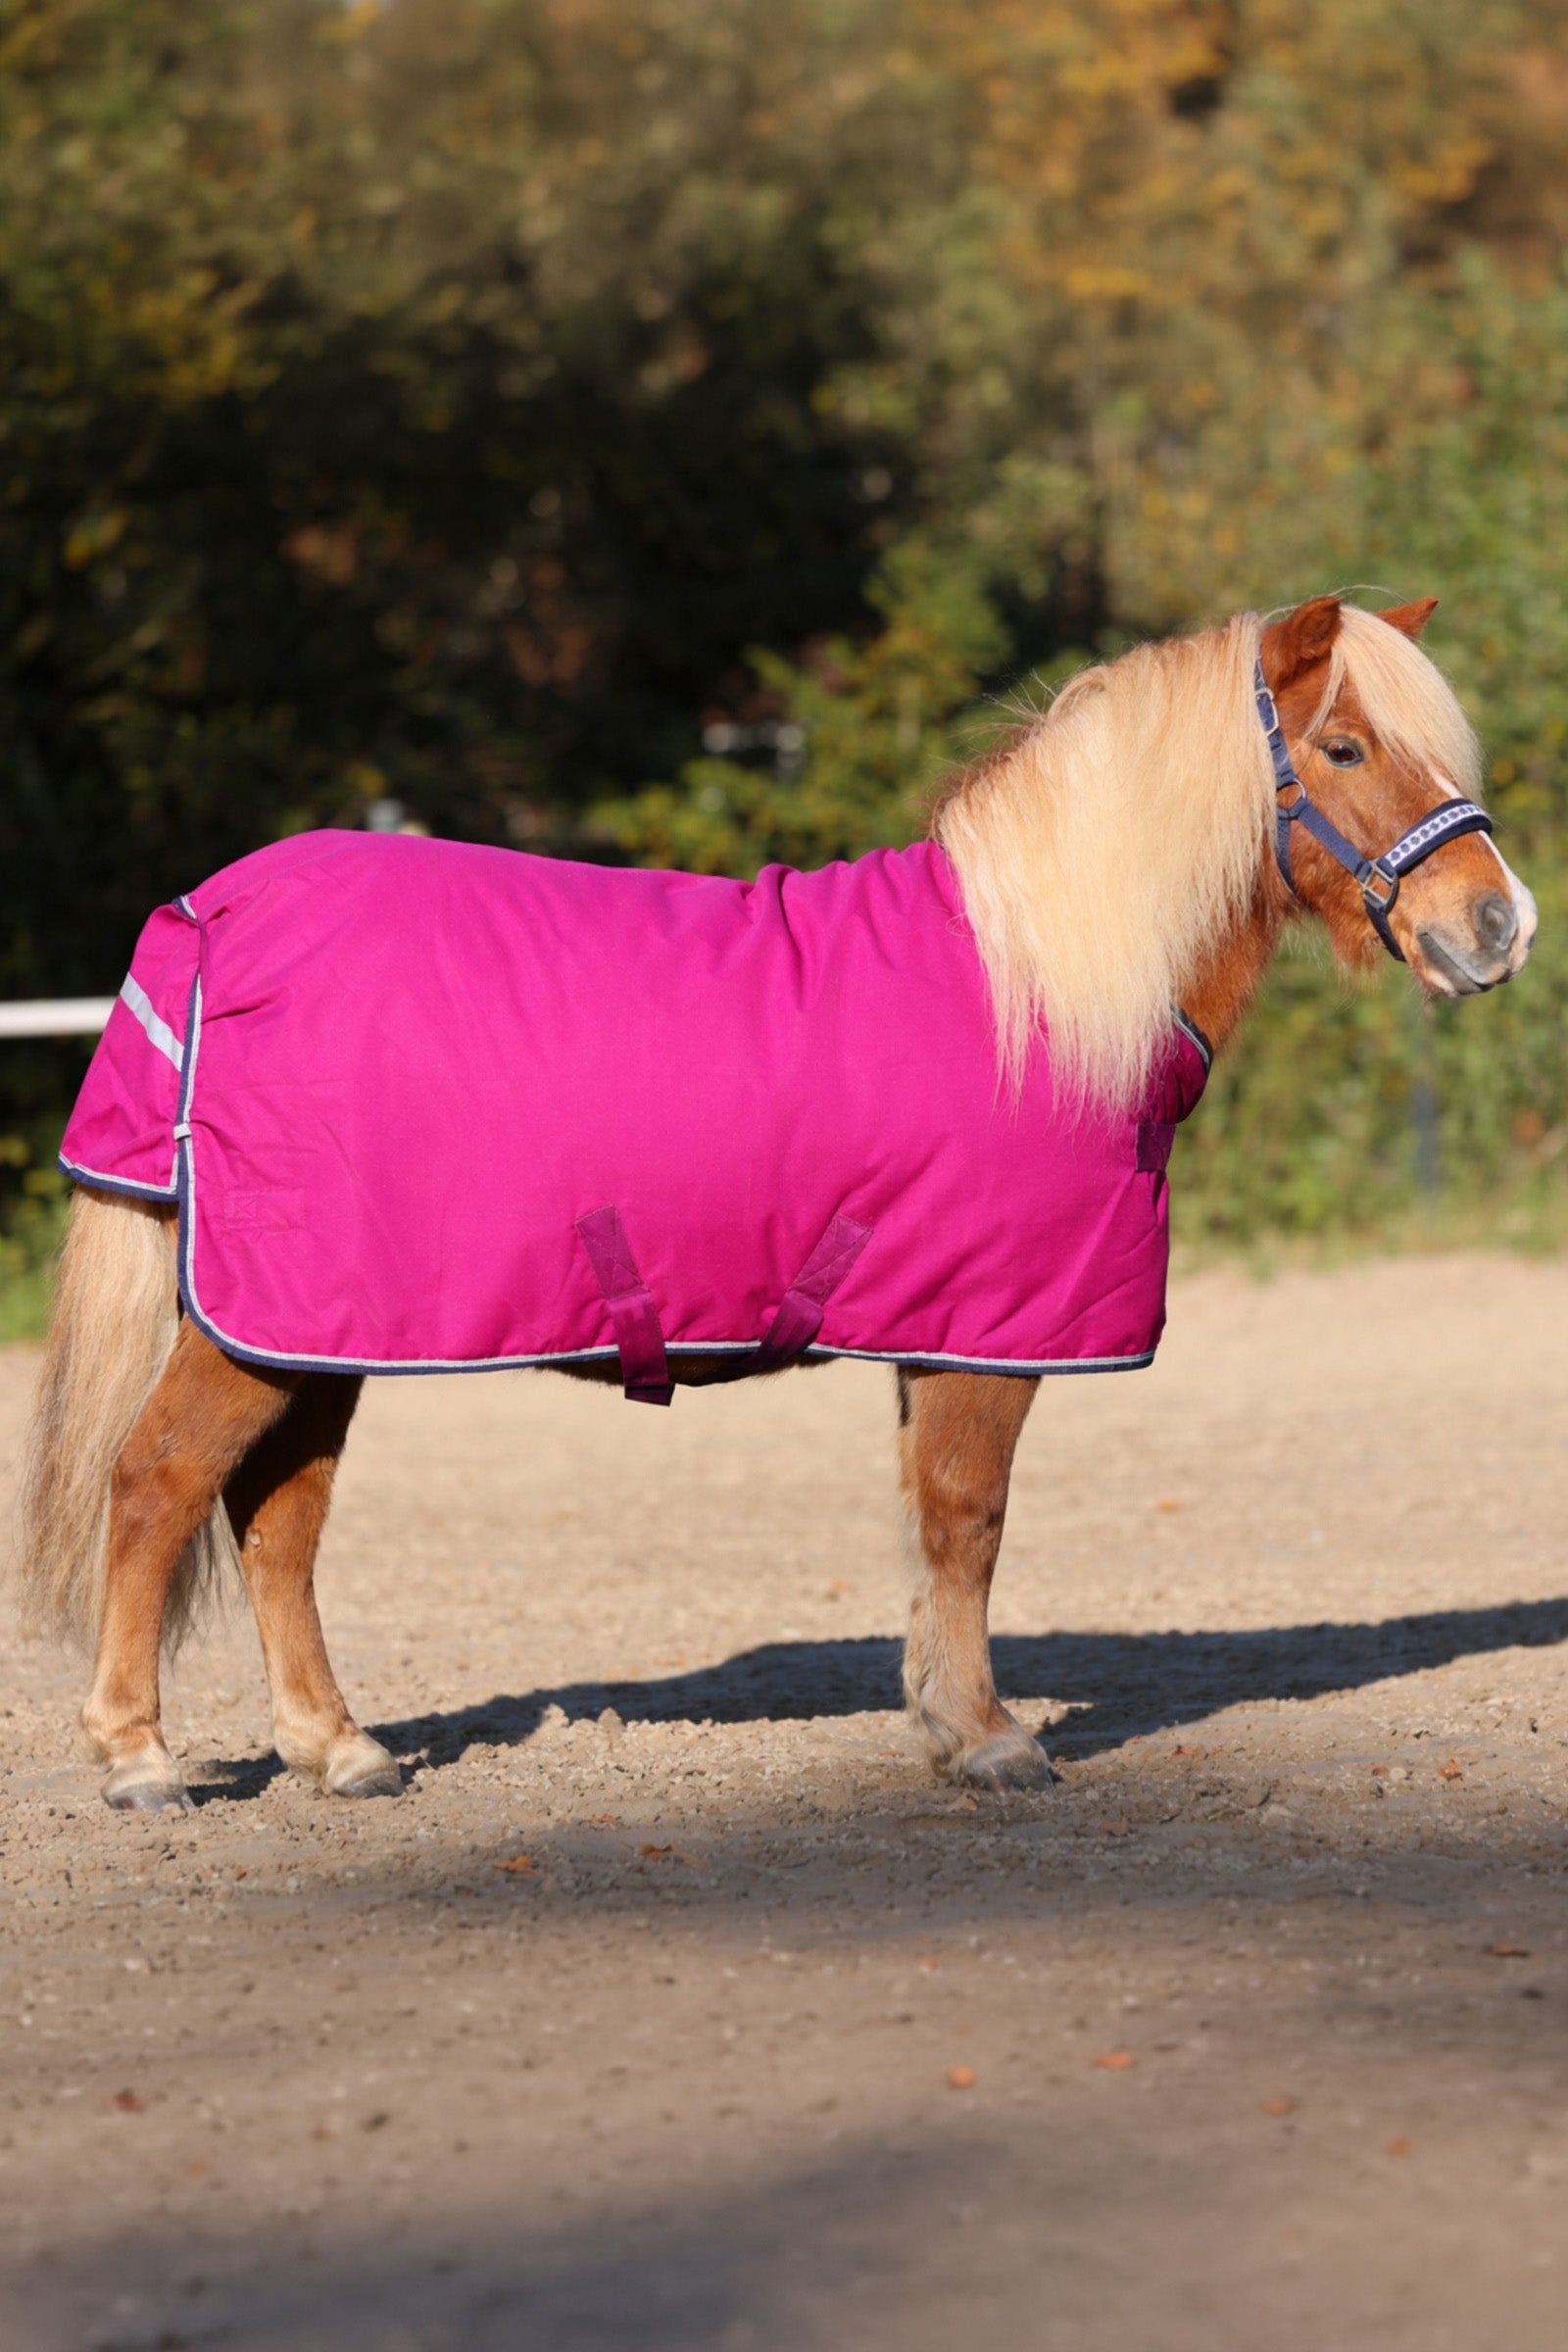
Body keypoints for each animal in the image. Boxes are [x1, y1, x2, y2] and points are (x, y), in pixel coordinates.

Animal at [13, 592, 1536, 1814]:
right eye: (1344, 749)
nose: (1498, 926)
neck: (1042, 982)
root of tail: (215, 913)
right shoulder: (988, 1326)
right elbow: (969, 1518)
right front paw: (991, 1739)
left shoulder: (938, 1325)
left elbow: (931, 1524)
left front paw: (941, 1720)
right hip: (262, 1328)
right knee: (156, 1485)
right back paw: (139, 1759)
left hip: (312, 1333)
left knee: (277, 1519)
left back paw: (341, 1751)